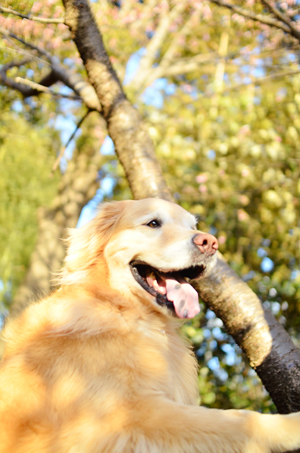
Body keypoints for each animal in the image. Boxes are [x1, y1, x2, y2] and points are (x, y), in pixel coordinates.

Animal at [0, 199, 300, 452]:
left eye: (193, 226)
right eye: (153, 223)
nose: (210, 242)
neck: (124, 312)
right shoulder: (130, 417)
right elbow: (239, 419)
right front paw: (292, 426)